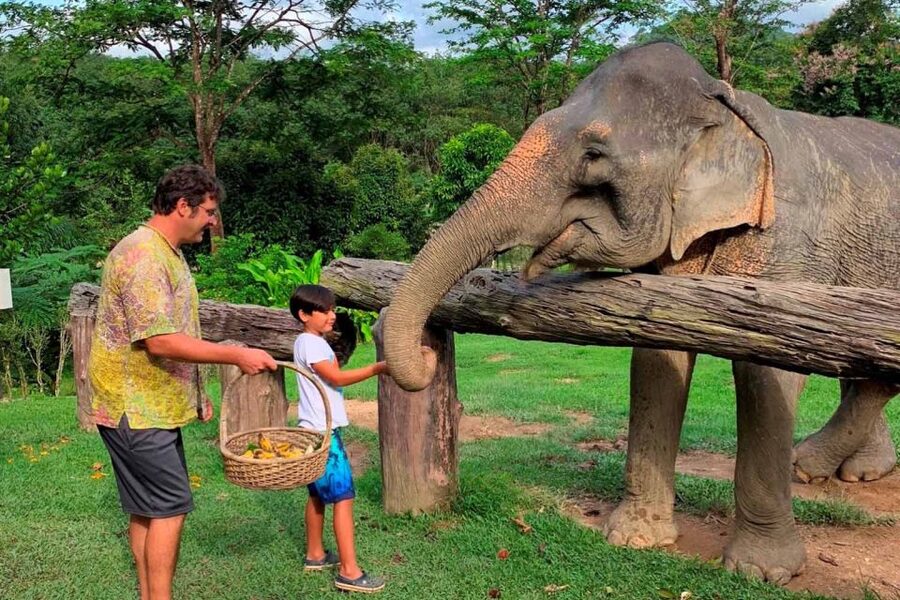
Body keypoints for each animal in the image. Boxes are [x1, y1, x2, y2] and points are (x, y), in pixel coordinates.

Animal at [381, 41, 900, 583]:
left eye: (593, 154)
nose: (426, 354)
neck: (726, 106)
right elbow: (657, 356)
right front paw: (634, 538)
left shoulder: (788, 245)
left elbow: (767, 373)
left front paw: (759, 572)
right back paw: (839, 470)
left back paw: (810, 464)